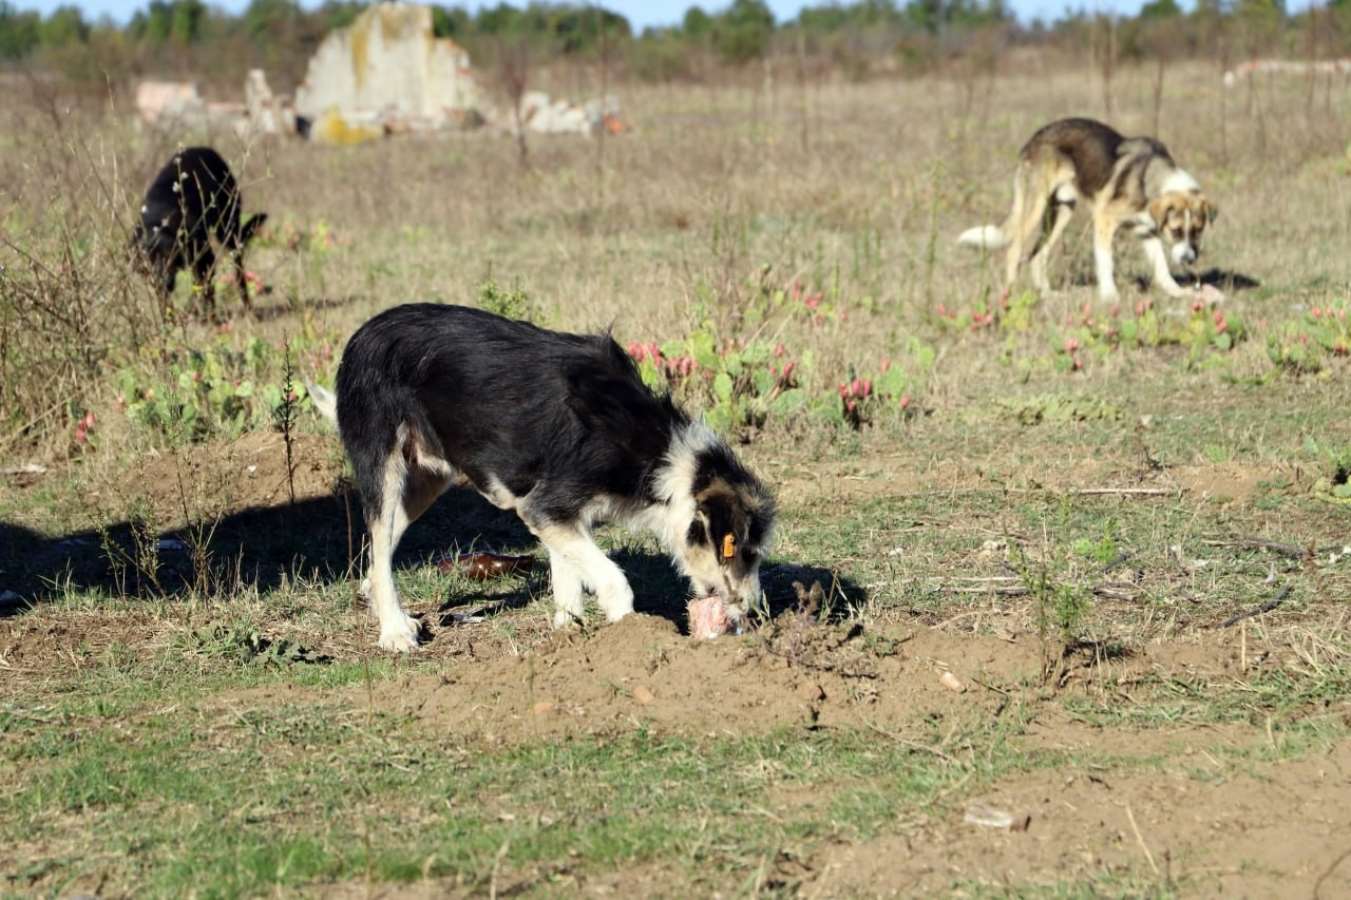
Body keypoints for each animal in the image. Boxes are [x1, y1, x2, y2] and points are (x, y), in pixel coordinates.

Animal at [131, 145, 266, 317]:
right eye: (148, 260)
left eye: (170, 255)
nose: (165, 282)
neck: (158, 220)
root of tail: (205, 149)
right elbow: (166, 300)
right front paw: (169, 317)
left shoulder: (206, 258)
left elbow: (203, 289)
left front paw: (203, 314)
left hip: (228, 231)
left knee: (238, 270)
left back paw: (245, 306)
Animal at [305, 305, 772, 648]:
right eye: (746, 553)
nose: (756, 613)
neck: (661, 455)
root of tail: (363, 333)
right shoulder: (545, 507)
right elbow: (613, 579)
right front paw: (630, 635)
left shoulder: (562, 516)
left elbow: (568, 577)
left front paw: (569, 634)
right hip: (383, 467)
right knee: (379, 545)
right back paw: (395, 631)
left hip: (425, 482)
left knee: (378, 553)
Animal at [956, 116, 1221, 301]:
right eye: (1176, 231)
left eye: (1197, 230)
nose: (1189, 259)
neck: (1152, 180)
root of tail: (1034, 139)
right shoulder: (1104, 219)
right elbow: (1106, 262)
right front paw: (1110, 296)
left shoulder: (1146, 231)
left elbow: (1162, 270)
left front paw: (1180, 293)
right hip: (1035, 207)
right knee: (1014, 251)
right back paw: (1011, 294)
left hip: (1062, 211)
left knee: (1037, 256)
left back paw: (1047, 295)